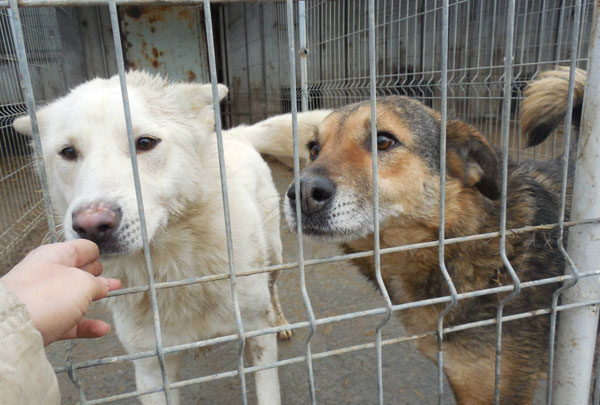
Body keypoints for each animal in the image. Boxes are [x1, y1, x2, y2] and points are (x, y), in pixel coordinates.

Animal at [14, 71, 330, 402]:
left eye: (145, 143)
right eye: (68, 152)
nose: (91, 226)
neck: (174, 269)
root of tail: (232, 134)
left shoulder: (257, 333)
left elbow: (267, 389)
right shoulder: (151, 368)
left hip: (273, 255)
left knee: (274, 289)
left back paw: (281, 321)